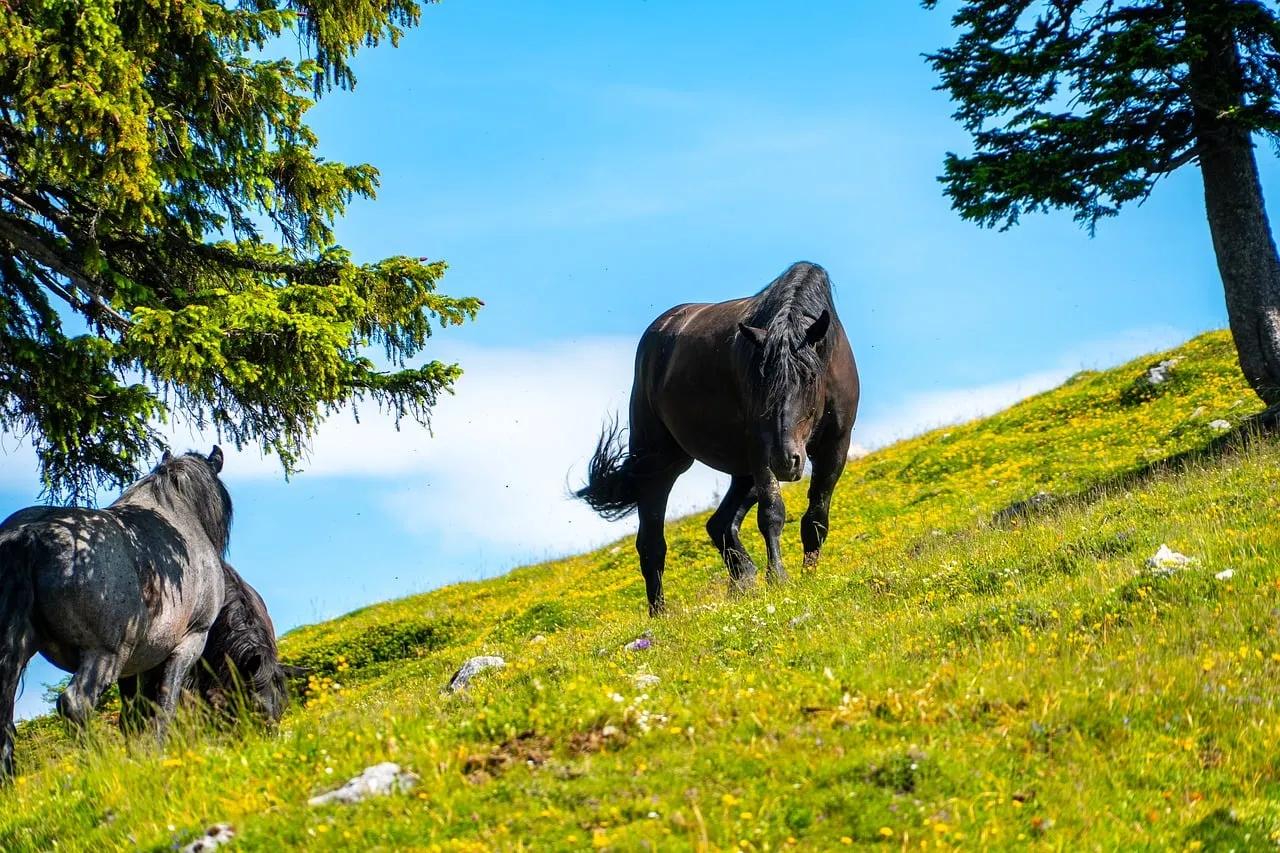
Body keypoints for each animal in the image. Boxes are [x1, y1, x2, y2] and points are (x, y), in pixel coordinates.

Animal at [0, 448, 231, 778]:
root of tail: (30, 533)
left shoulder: (135, 665)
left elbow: (133, 716)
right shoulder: (189, 643)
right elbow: (165, 704)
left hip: (17, 652)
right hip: (104, 653)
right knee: (76, 704)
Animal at [576, 261, 860, 615]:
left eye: (808, 378)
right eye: (761, 381)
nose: (786, 461)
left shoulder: (835, 447)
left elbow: (816, 519)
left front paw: (809, 575)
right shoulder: (761, 449)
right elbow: (772, 514)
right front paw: (778, 577)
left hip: (742, 471)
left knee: (720, 524)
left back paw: (744, 580)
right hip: (661, 462)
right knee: (652, 542)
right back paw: (661, 614)